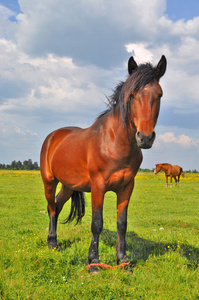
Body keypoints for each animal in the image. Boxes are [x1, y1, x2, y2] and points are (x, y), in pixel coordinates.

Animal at [40, 54, 166, 272]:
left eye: (159, 94)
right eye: (132, 95)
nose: (145, 137)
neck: (115, 142)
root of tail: (53, 136)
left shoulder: (126, 187)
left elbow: (122, 223)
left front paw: (122, 261)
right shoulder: (98, 186)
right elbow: (96, 223)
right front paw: (93, 264)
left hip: (67, 186)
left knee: (56, 205)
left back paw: (54, 243)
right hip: (49, 181)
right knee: (51, 207)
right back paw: (52, 243)